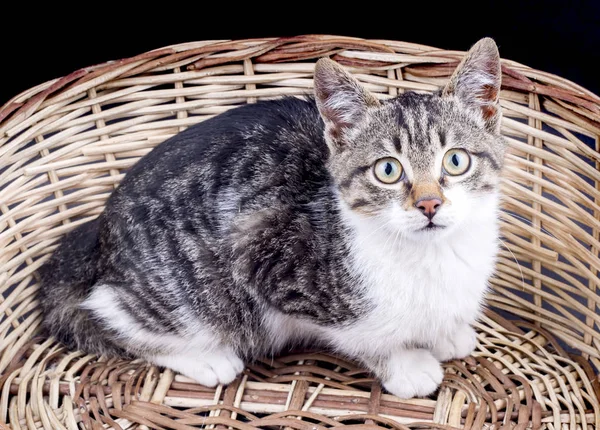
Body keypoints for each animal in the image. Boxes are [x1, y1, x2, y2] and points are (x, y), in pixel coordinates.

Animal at [38, 38, 506, 398]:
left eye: (456, 160)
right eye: (388, 170)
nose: (429, 205)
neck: (431, 256)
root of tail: (99, 238)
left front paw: (447, 333)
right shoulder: (267, 256)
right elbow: (363, 334)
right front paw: (405, 365)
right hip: (181, 292)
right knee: (107, 311)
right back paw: (206, 359)